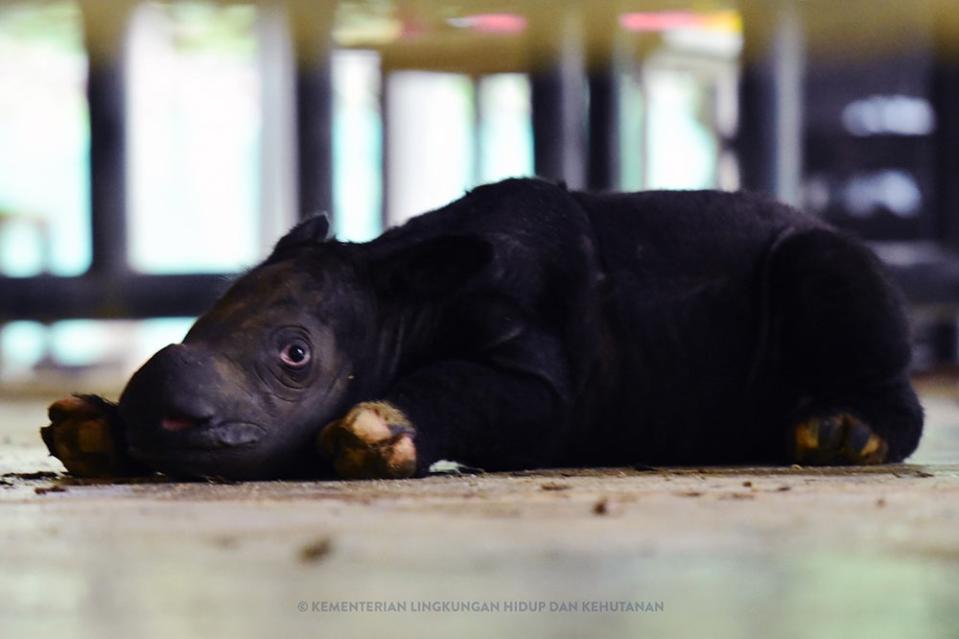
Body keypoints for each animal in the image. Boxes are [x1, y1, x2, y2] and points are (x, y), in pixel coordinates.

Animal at [43, 179, 924, 480]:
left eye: (295, 355)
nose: (158, 415)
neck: (401, 290)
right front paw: (92, 431)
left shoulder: (543, 373)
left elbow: (485, 388)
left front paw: (377, 431)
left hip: (820, 255)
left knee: (826, 266)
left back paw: (841, 432)